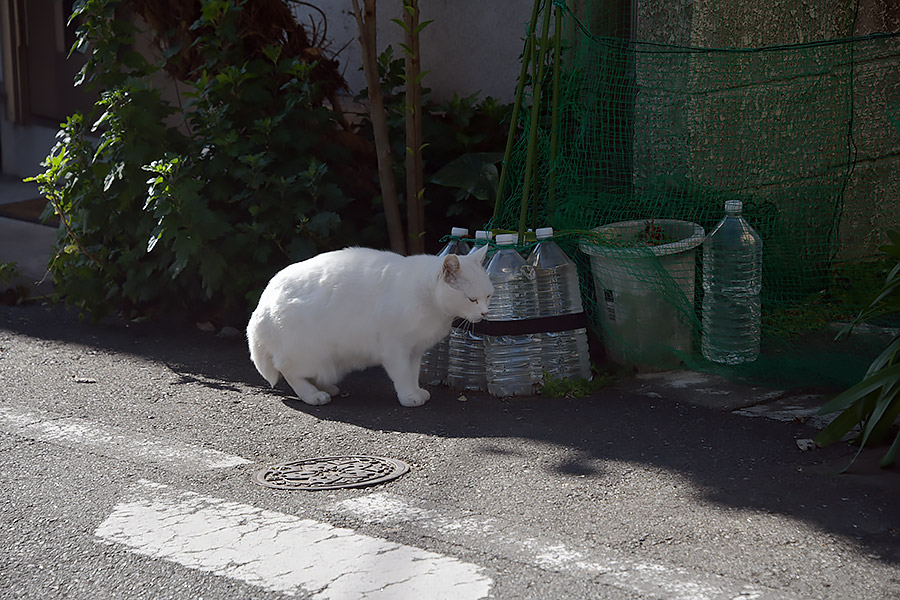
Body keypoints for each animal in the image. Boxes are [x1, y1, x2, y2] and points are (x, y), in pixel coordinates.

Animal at [246, 245, 492, 408]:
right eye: (472, 299)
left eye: (488, 296)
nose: (485, 313)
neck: (428, 298)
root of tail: (261, 305)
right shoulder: (395, 348)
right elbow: (402, 375)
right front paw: (408, 397)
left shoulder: (414, 350)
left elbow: (413, 374)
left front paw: (415, 392)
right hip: (309, 352)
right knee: (288, 371)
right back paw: (313, 396)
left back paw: (326, 388)